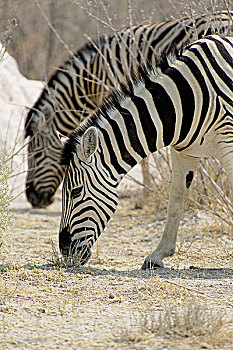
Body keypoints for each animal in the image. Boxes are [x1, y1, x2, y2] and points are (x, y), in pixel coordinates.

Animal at [59, 34, 233, 268]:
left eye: (76, 191)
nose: (64, 251)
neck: (182, 100)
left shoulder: (228, 141)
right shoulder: (185, 152)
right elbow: (175, 200)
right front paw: (158, 255)